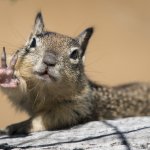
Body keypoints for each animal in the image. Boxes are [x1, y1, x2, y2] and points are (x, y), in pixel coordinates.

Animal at [0, 12, 150, 135]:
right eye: (33, 42)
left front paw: (21, 125)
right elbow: (18, 90)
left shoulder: (79, 106)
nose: (49, 61)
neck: (44, 89)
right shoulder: (27, 96)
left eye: (74, 54)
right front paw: (7, 75)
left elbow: (47, 118)